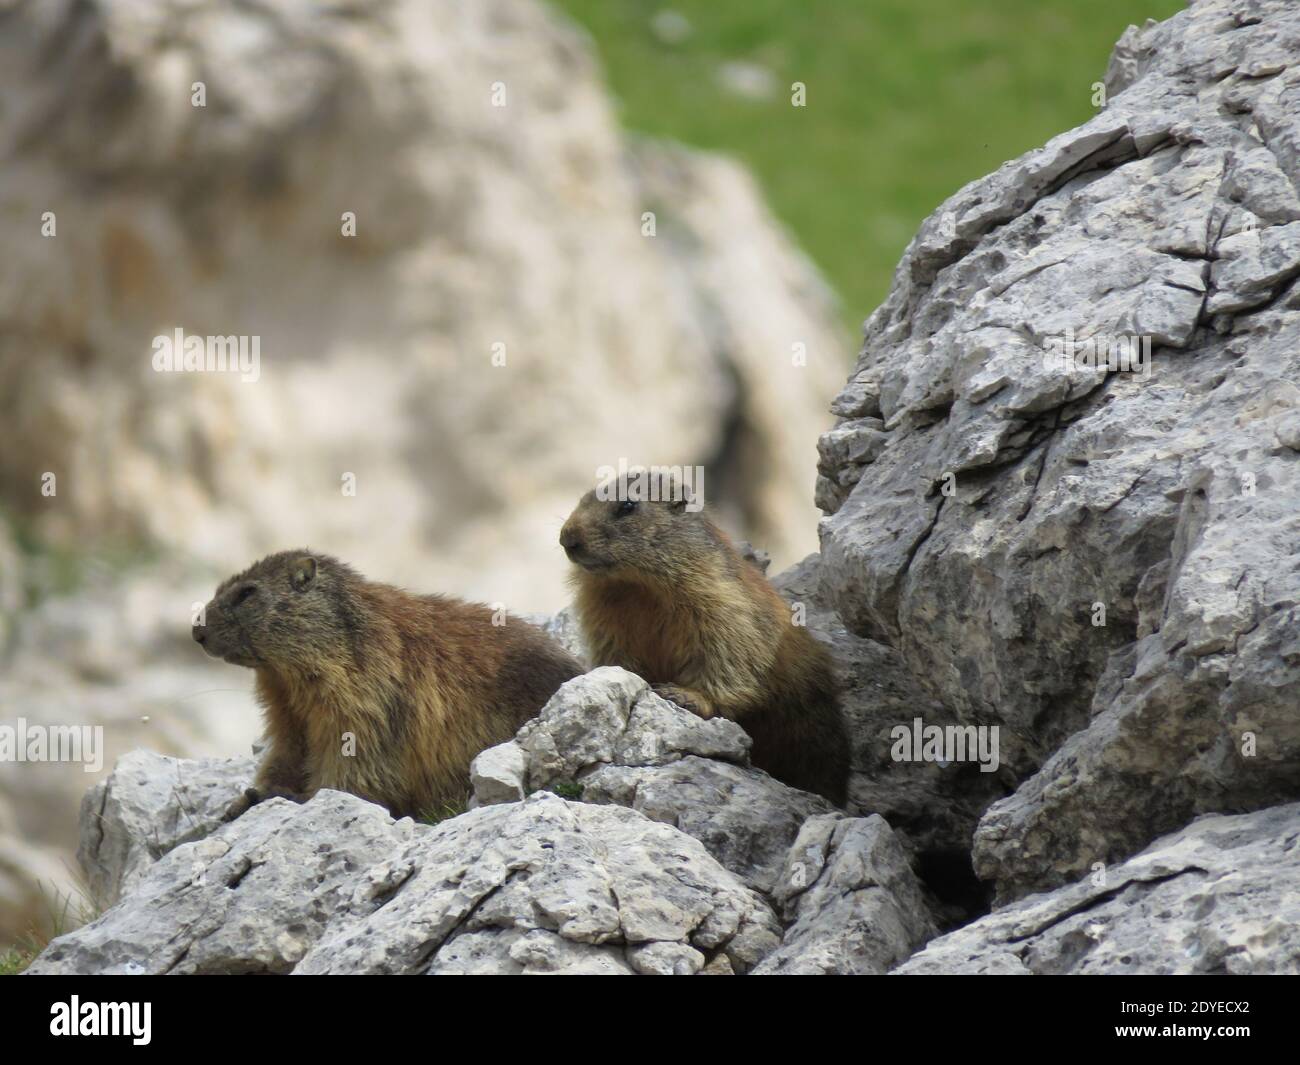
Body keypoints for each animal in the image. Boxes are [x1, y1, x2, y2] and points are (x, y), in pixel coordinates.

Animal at [193, 550, 583, 820]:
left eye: (246, 593)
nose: (196, 631)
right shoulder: (285, 705)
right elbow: (288, 747)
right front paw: (247, 797)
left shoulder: (366, 690)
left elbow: (357, 751)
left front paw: (304, 796)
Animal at [559, 479, 849, 805]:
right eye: (582, 499)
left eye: (627, 506)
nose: (567, 538)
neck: (636, 586)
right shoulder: (602, 613)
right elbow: (613, 649)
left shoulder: (719, 598)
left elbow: (728, 647)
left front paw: (685, 695)